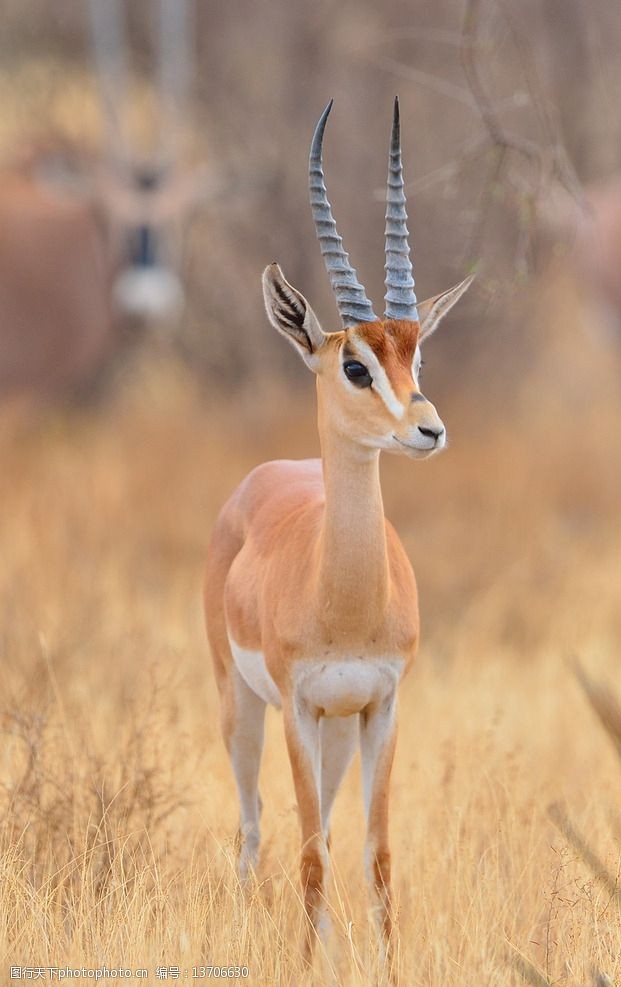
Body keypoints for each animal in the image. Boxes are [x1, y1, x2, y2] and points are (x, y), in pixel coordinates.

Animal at [203, 96, 470, 960]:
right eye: (354, 364)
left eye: (417, 355)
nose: (428, 428)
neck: (346, 600)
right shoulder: (298, 707)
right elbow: (311, 848)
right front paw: (306, 959)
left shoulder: (380, 705)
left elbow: (375, 851)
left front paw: (386, 962)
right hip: (242, 705)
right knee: (255, 824)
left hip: (338, 734)